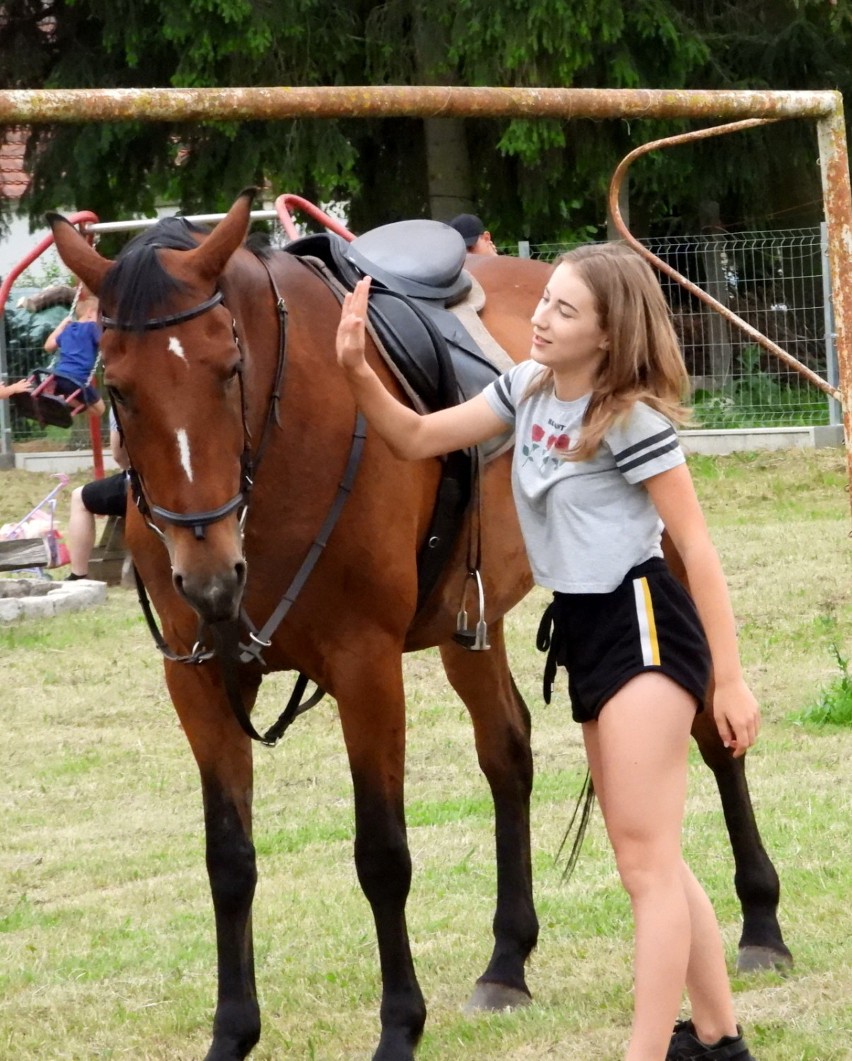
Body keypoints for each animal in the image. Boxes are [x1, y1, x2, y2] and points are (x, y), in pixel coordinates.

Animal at [46, 193, 793, 1061]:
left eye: (227, 366)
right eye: (119, 386)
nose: (208, 573)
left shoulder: (366, 665)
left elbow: (382, 854)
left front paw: (399, 1026)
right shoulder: (197, 677)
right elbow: (228, 858)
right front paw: (232, 1032)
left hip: (665, 552)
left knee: (713, 732)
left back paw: (761, 922)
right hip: (468, 619)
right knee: (508, 752)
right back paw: (507, 962)